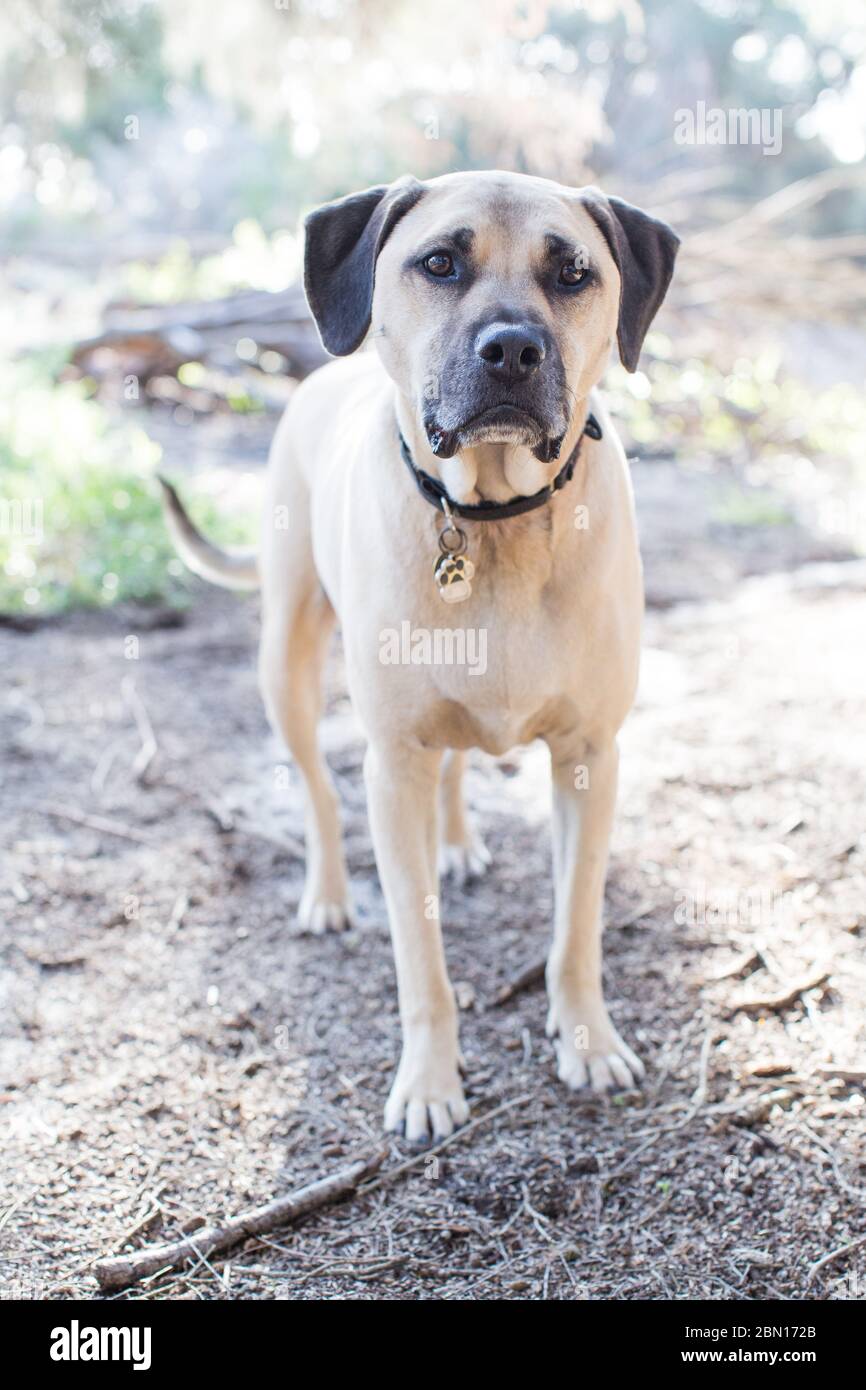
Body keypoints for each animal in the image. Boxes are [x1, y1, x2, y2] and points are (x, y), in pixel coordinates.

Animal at [161, 170, 678, 1139]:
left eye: (574, 273)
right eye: (439, 263)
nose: (511, 349)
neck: (494, 517)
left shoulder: (590, 757)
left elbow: (576, 925)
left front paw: (586, 1040)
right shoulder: (394, 760)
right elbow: (420, 956)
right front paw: (430, 1083)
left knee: (457, 765)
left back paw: (459, 843)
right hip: (286, 661)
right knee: (320, 792)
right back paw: (329, 895)